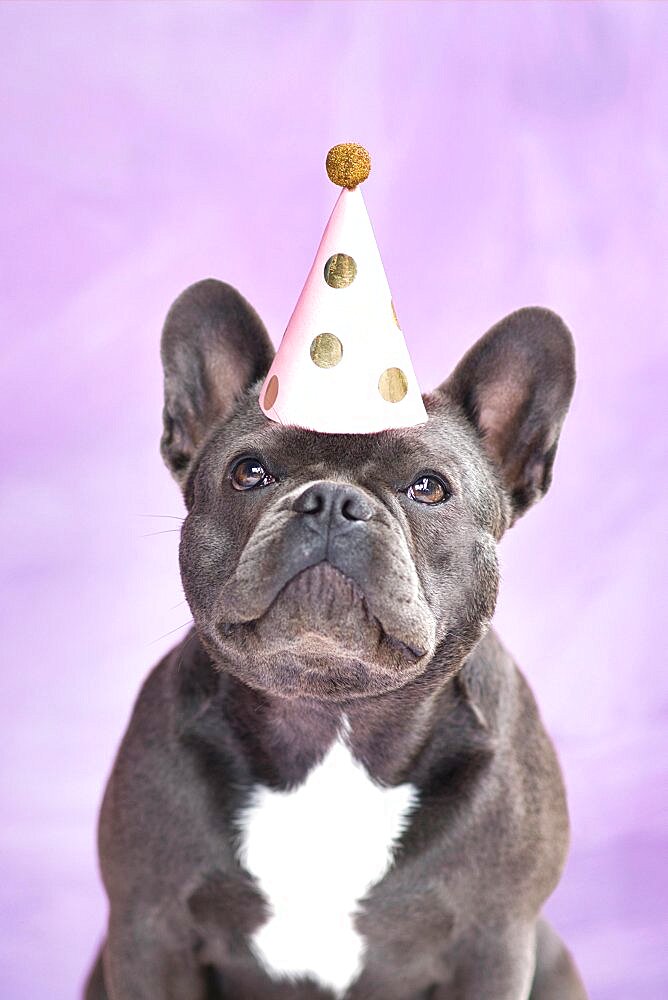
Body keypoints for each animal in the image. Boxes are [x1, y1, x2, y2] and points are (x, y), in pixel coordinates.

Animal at [86, 278, 588, 996]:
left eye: (429, 487)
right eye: (249, 472)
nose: (330, 500)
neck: (331, 717)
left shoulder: (494, 943)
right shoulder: (149, 929)